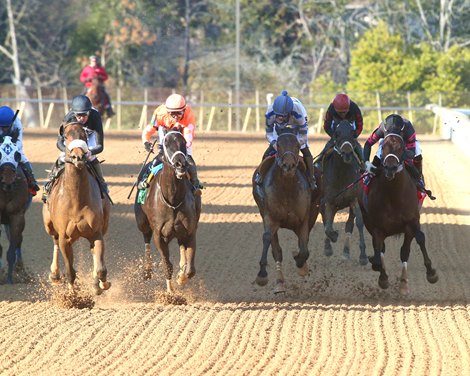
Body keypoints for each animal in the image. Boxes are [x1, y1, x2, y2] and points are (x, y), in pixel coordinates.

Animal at [41, 122, 111, 296]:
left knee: (94, 254)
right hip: (49, 225)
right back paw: (55, 274)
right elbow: (70, 271)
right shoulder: (65, 238)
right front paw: (72, 295)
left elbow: (101, 268)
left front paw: (101, 284)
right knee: (54, 241)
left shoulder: (96, 233)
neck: (76, 200)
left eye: (84, 135)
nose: (78, 157)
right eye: (65, 136)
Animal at [133, 129, 201, 294]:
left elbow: (190, 270)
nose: (180, 164)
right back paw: (147, 271)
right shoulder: (159, 235)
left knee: (182, 247)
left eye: (183, 142)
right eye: (166, 143)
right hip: (142, 222)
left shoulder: (190, 231)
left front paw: (181, 278)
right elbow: (167, 265)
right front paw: (170, 292)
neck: (173, 200)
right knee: (146, 239)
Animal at [252, 128, 322, 292]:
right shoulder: (270, 217)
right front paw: (262, 275)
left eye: (297, 145)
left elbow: (304, 248)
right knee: (277, 250)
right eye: (278, 145)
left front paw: (301, 265)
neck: (287, 189)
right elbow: (268, 240)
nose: (288, 165)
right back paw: (279, 283)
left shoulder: (303, 219)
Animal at [320, 119, 368, 264]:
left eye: (353, 133)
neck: (341, 174)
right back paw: (328, 246)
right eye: (337, 133)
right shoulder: (329, 201)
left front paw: (363, 255)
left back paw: (346, 251)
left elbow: (359, 222)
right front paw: (333, 238)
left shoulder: (353, 200)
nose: (347, 153)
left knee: (348, 225)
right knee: (326, 220)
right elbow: (328, 226)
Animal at [358, 132, 438, 294]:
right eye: (383, 146)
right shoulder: (377, 226)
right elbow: (378, 248)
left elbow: (409, 248)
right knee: (380, 248)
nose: (390, 168)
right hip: (367, 219)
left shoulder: (411, 222)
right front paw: (382, 277)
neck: (393, 194)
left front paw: (425, 275)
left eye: (401, 148)